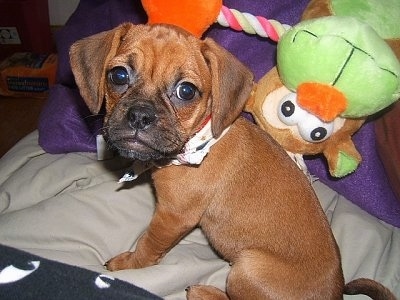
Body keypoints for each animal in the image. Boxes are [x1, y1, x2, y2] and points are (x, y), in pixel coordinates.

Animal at [69, 22, 394, 298]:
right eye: (118, 76)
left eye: (186, 91)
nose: (139, 116)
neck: (198, 141)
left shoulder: (173, 216)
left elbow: (148, 246)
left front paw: (128, 264)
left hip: (246, 268)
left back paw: (204, 292)